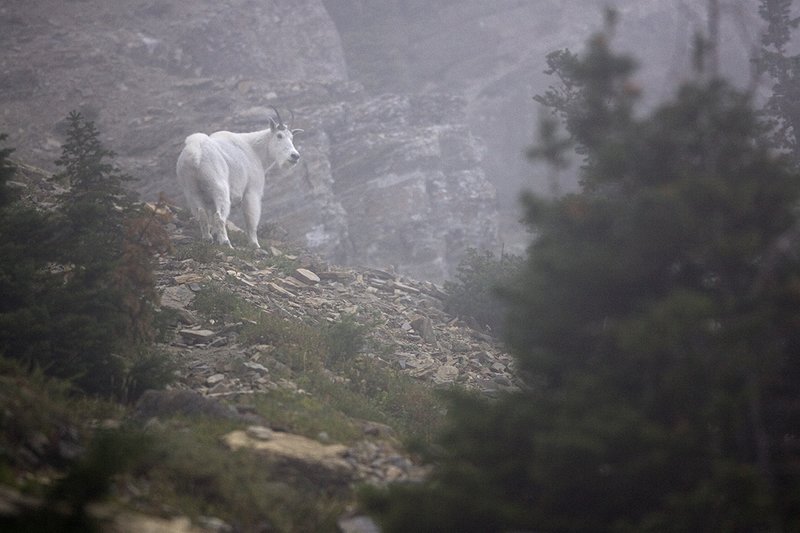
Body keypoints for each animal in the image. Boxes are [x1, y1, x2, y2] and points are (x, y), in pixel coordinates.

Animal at [176, 107, 302, 248]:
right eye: (279, 135)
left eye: (292, 137)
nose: (295, 156)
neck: (255, 150)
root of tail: (195, 153)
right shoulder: (252, 191)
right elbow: (251, 221)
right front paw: (255, 245)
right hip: (218, 186)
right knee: (219, 216)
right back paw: (226, 243)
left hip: (191, 189)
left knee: (202, 213)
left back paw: (208, 238)